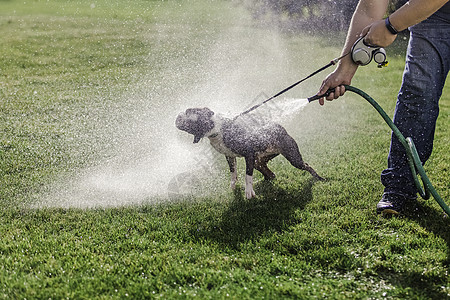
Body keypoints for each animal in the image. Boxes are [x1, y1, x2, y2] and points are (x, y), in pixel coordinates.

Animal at [176, 106, 324, 198]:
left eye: (189, 115)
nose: (177, 116)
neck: (219, 129)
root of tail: (281, 128)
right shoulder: (230, 156)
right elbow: (233, 172)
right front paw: (233, 186)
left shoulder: (248, 154)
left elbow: (247, 175)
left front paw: (248, 192)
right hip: (259, 160)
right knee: (269, 173)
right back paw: (264, 182)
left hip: (293, 157)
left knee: (306, 165)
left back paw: (319, 178)